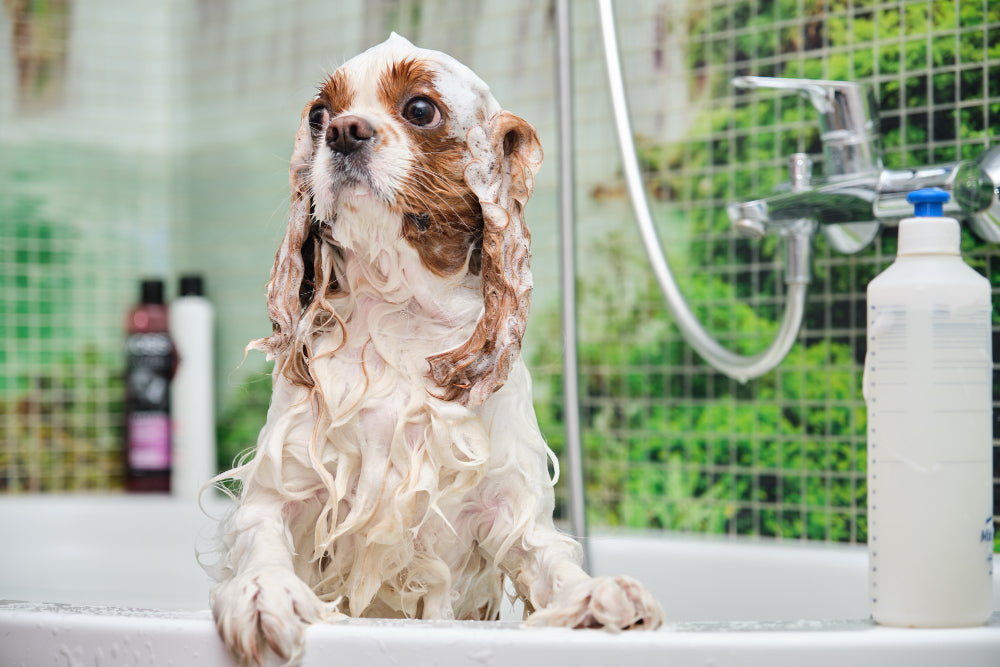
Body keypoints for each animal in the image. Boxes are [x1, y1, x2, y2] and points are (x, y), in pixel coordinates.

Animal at [211, 34, 664, 664]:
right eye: (319, 114)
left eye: (420, 109)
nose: (344, 130)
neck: (401, 312)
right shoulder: (284, 481)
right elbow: (264, 537)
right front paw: (263, 594)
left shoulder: (506, 505)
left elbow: (546, 557)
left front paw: (597, 595)